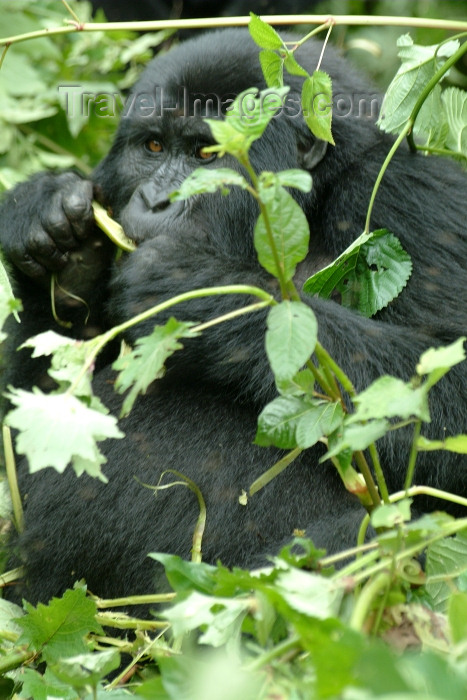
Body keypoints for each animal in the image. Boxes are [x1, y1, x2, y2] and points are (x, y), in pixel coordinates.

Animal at [0, 30, 467, 604]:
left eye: (207, 154)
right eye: (152, 147)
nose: (156, 200)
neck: (311, 200)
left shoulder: (413, 197)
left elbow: (445, 400)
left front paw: (195, 287)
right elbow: (41, 426)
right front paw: (57, 239)